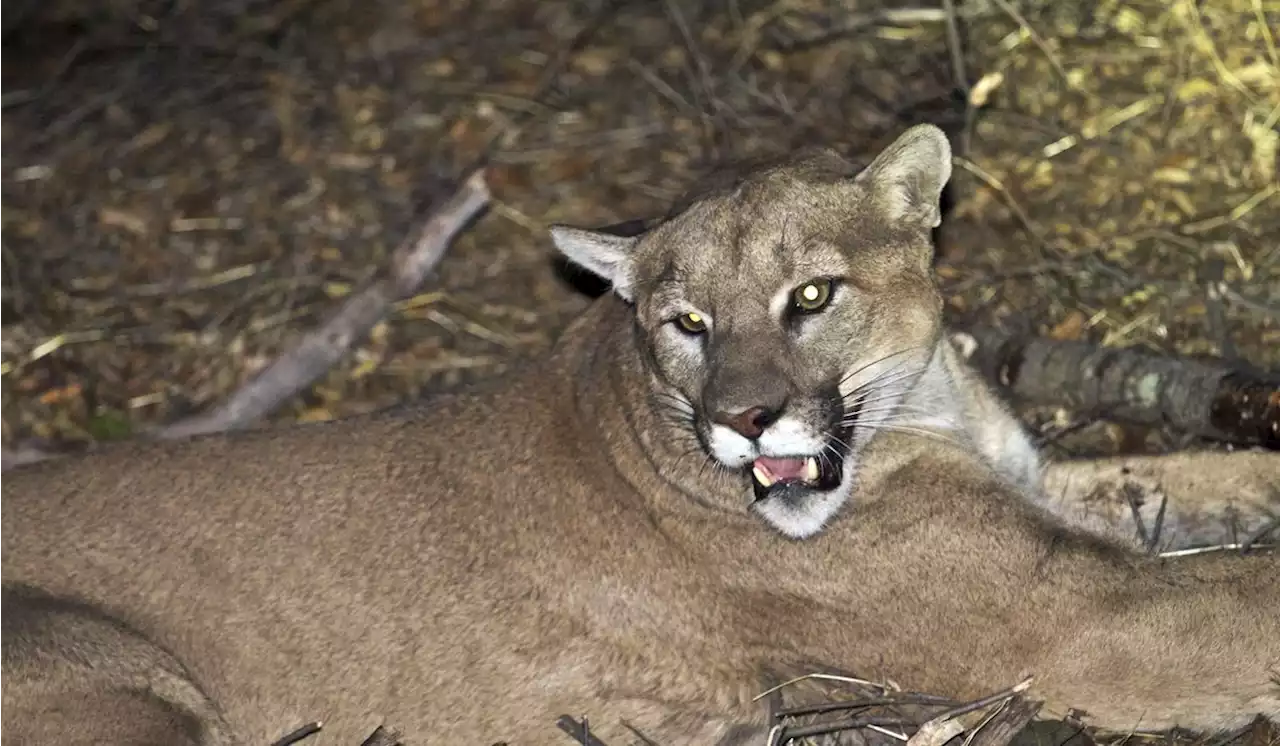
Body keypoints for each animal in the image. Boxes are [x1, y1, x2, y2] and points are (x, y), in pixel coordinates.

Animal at [2, 125, 1280, 742]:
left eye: (809, 295)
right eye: (686, 322)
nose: (745, 418)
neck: (921, 404)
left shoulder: (1053, 498)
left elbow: (1206, 479)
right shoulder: (1078, 618)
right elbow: (1244, 590)